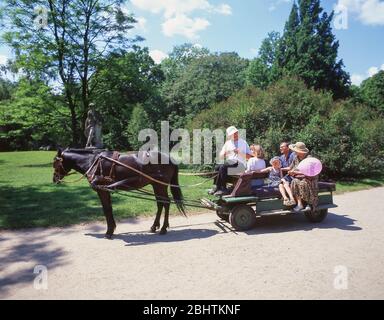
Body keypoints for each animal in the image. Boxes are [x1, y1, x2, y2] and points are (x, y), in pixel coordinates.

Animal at [52, 148, 186, 238]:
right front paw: (112, 228)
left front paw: (109, 231)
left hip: (160, 185)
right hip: (156, 185)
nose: (54, 179)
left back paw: (163, 228)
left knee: (166, 202)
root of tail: (169, 159)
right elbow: (109, 209)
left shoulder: (102, 190)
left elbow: (106, 209)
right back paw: (155, 226)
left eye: (55, 163)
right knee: (160, 203)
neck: (93, 162)